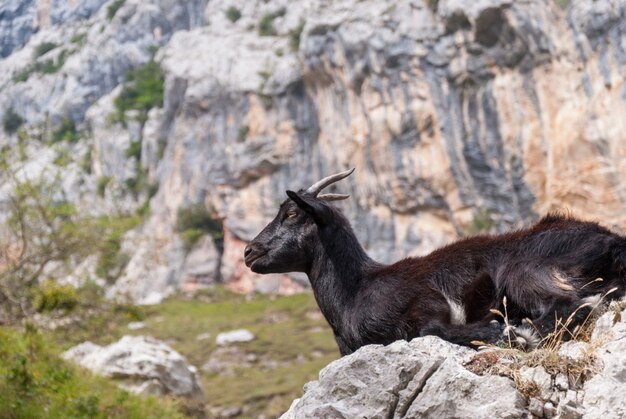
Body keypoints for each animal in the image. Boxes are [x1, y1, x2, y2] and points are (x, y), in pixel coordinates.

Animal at [243, 169, 624, 356]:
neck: (357, 290)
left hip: (525, 270)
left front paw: (501, 332)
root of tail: (612, 242)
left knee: (574, 304)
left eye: (292, 213)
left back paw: (522, 332)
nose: (249, 252)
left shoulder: (426, 303)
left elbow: (431, 329)